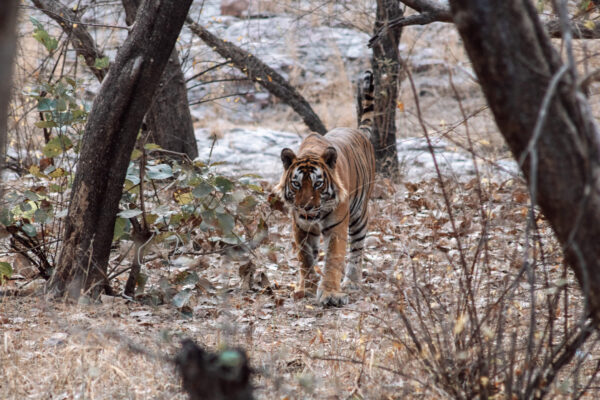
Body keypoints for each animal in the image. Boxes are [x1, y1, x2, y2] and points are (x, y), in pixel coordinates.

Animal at [274, 71, 376, 306]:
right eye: (296, 184)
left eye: (318, 184)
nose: (306, 207)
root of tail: (358, 131)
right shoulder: (301, 226)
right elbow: (306, 258)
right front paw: (307, 288)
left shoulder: (337, 225)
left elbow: (333, 258)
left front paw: (329, 293)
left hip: (359, 215)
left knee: (357, 248)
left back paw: (352, 281)